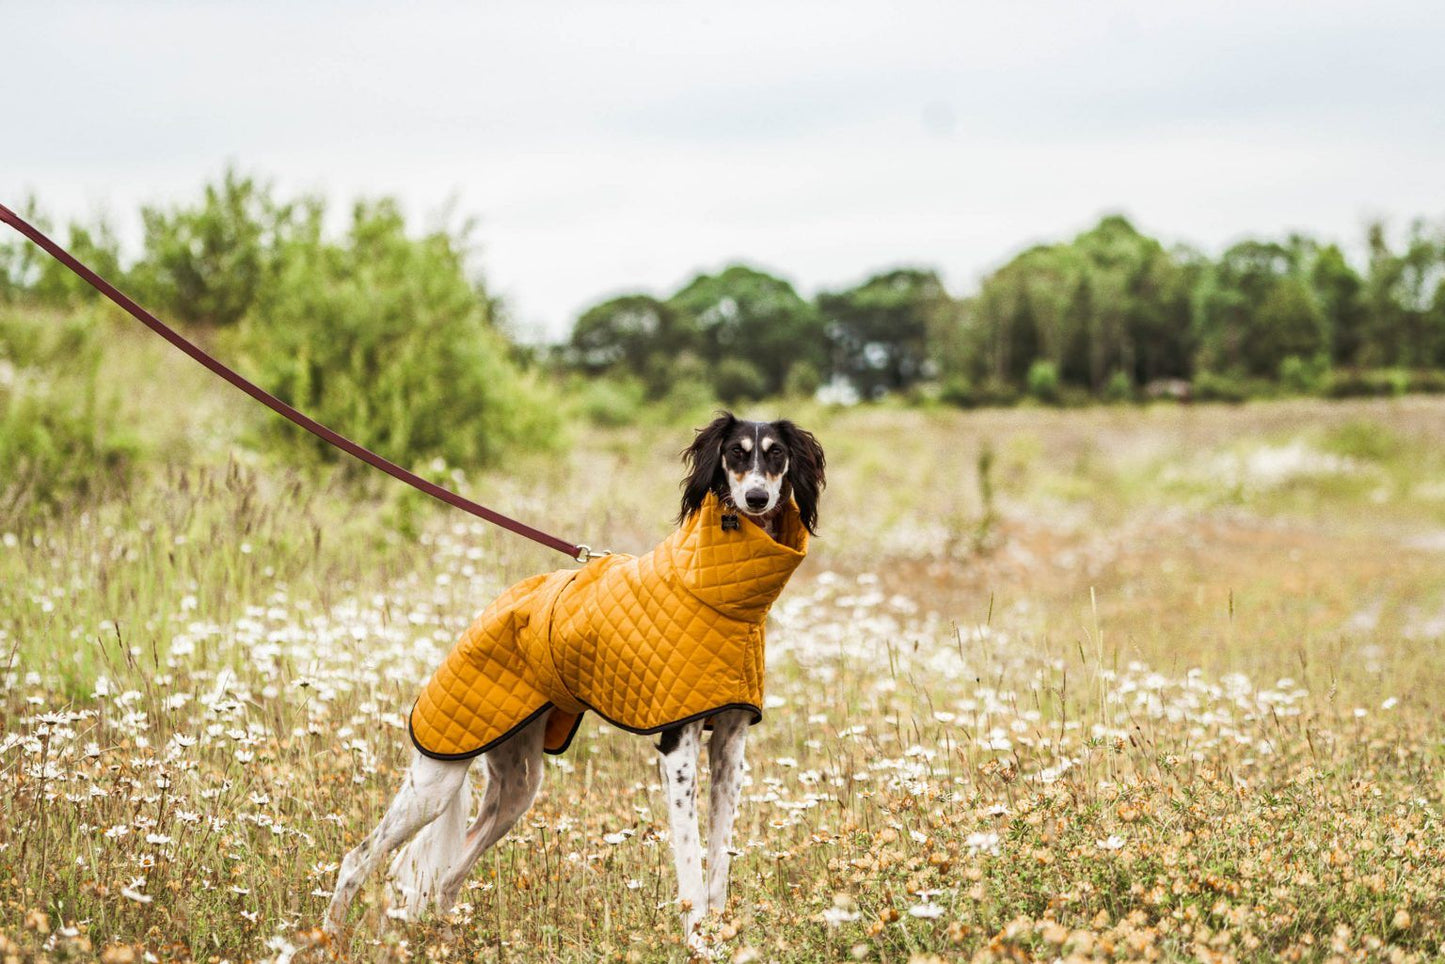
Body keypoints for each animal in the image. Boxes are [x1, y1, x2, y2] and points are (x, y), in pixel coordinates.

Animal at [326, 413, 826, 948]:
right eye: (735, 453)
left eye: (776, 455)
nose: (756, 498)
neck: (721, 594)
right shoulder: (677, 748)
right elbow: (692, 864)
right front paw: (696, 941)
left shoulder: (730, 744)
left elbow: (718, 869)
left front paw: (716, 938)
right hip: (437, 775)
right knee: (359, 859)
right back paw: (329, 937)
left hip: (517, 783)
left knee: (442, 875)